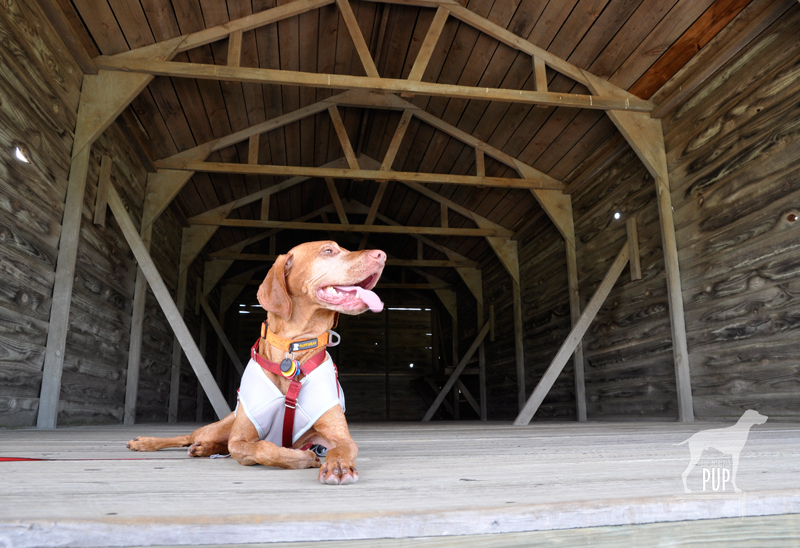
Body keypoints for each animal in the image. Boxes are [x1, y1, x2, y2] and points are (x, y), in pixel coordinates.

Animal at [126, 240, 386, 484]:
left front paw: (337, 465)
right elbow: (262, 449)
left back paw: (204, 449)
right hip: (220, 426)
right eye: (328, 251)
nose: (381, 255)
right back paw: (146, 442)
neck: (293, 349)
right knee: (188, 437)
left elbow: (341, 449)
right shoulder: (241, 439)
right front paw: (301, 458)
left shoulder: (341, 437)